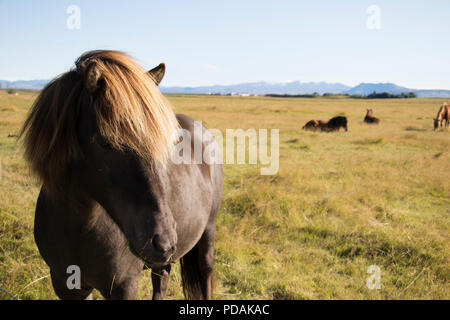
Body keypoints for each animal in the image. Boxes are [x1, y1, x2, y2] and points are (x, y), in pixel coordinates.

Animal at [19, 50, 223, 300]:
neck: (77, 230)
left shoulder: (124, 286)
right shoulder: (66, 284)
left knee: (205, 272)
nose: (162, 242)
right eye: (105, 142)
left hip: (207, 233)